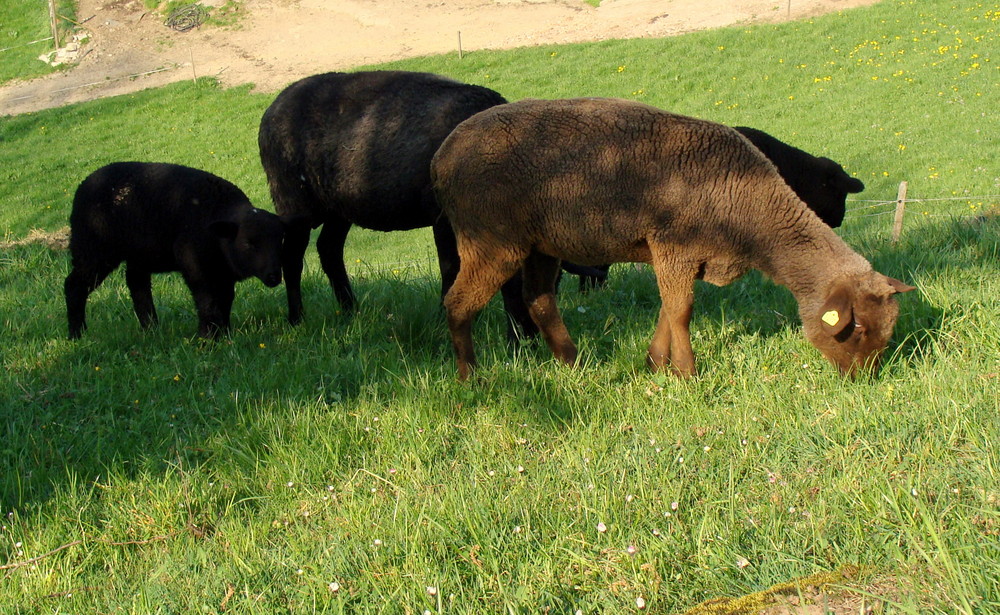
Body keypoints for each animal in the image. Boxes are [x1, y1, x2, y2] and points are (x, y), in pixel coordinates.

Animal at [66, 161, 290, 340]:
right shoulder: (193, 263)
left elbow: (225, 299)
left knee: (137, 283)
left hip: (138, 253)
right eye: (248, 243)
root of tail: (85, 183)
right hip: (93, 249)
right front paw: (207, 337)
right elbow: (208, 301)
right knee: (75, 285)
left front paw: (225, 332)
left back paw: (150, 328)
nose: (274, 276)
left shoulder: (222, 271)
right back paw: (77, 334)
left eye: (280, 240)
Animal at [430, 97, 916, 380]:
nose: (862, 380)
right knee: (458, 303)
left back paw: (574, 363)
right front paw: (687, 373)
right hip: (491, 238)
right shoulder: (673, 246)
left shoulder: (686, 256)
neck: (748, 211)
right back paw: (471, 377)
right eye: (854, 328)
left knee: (539, 300)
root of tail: (441, 158)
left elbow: (670, 308)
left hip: (542, 243)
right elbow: (682, 311)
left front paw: (655, 364)